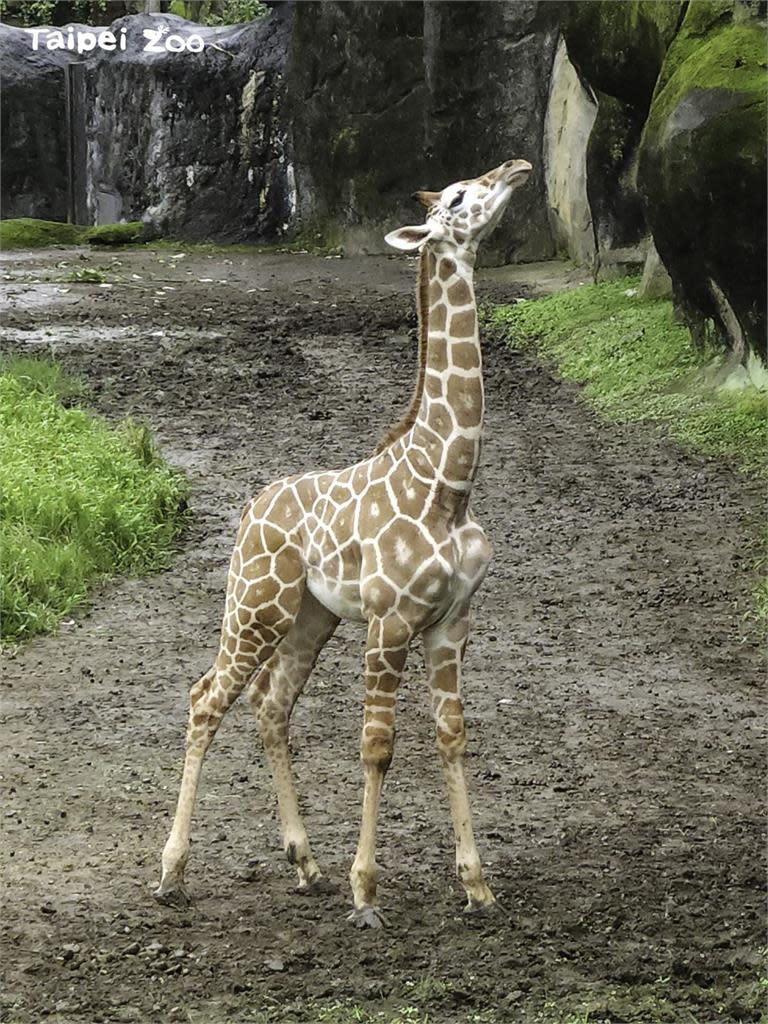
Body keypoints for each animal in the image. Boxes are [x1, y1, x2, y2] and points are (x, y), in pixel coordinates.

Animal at [156, 157, 536, 929]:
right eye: (458, 196)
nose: (516, 166)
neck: (447, 483)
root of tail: (250, 508)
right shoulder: (389, 622)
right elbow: (377, 746)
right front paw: (368, 893)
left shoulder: (452, 621)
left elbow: (452, 735)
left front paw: (477, 885)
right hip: (256, 605)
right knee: (207, 698)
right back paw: (171, 873)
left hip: (311, 616)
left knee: (270, 706)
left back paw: (306, 865)